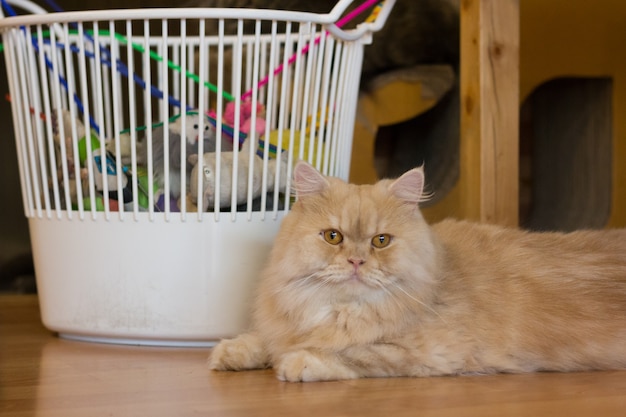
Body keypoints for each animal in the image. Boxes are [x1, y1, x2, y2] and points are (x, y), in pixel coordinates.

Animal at [208, 161, 624, 382]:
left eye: (380, 241)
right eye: (333, 236)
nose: (356, 262)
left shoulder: (428, 354)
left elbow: (351, 352)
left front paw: (298, 362)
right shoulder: (288, 325)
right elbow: (268, 339)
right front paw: (231, 351)